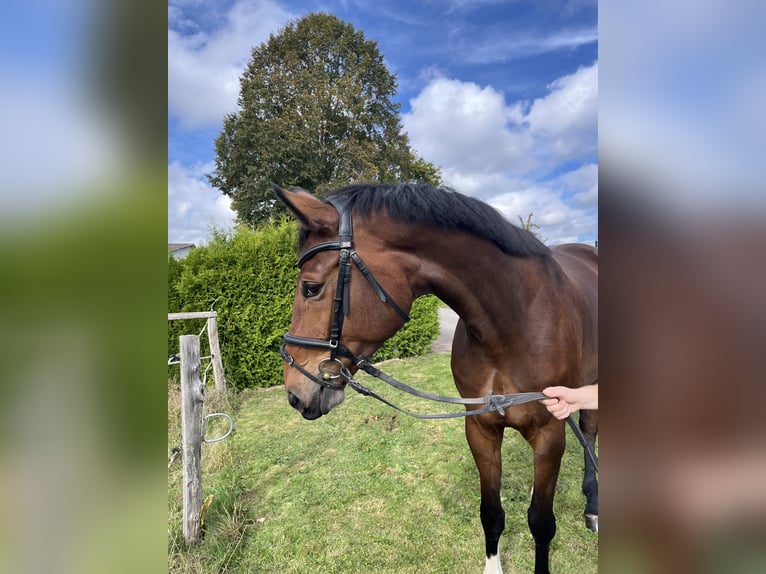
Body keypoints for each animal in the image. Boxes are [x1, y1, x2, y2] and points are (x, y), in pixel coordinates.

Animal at [272, 183, 596, 574]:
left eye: (310, 287)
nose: (294, 392)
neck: (515, 323)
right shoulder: (481, 429)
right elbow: (491, 514)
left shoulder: (550, 431)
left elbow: (541, 522)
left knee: (590, 434)